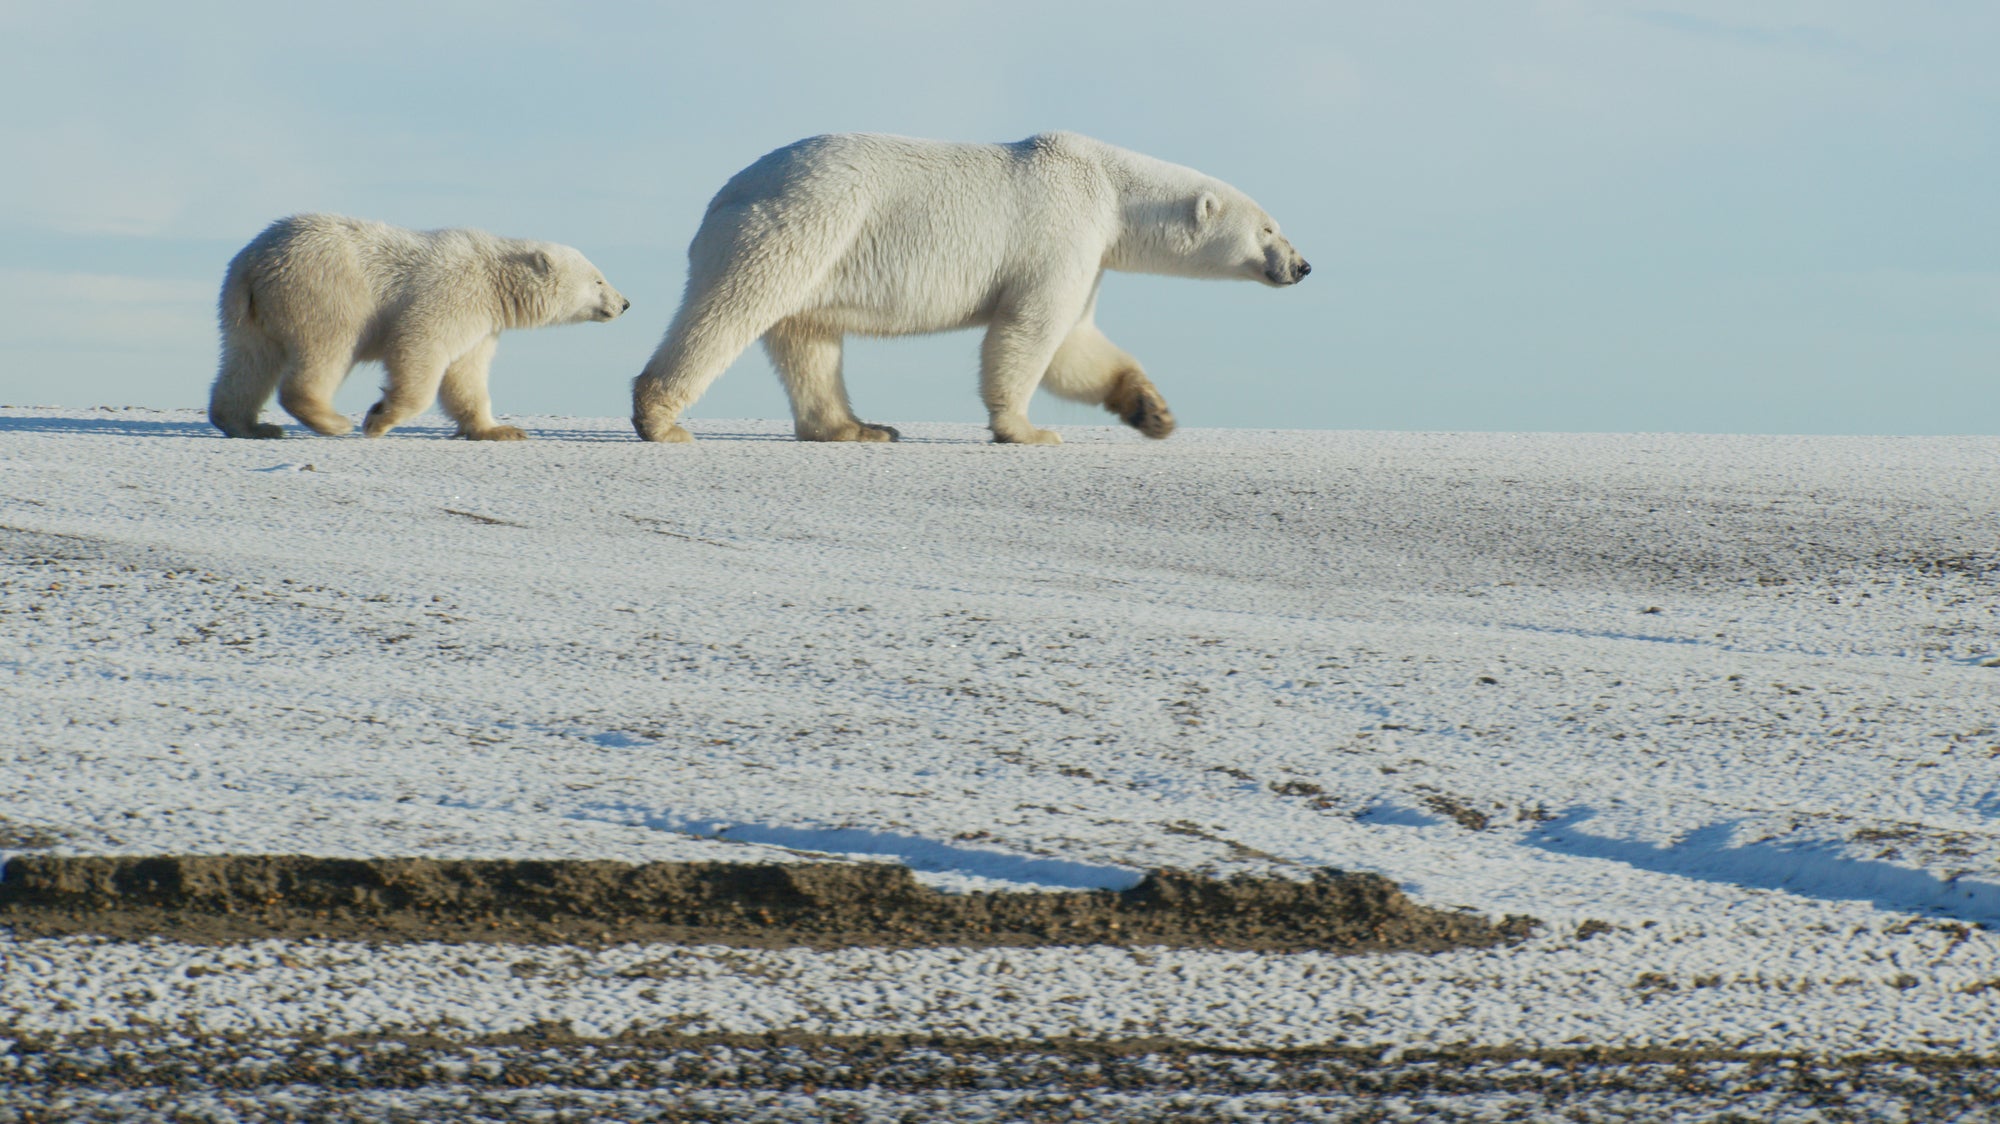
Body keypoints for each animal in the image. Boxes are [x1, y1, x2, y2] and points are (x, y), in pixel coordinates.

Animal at [207, 214, 630, 441]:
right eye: (598, 279)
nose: (625, 303)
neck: (494, 279)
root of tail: (256, 260)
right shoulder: (451, 293)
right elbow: (420, 346)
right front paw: (378, 417)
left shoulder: (482, 323)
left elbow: (466, 375)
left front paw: (501, 430)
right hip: (325, 291)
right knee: (326, 349)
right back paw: (332, 420)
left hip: (244, 307)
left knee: (248, 361)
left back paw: (248, 425)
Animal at [631, 131, 1309, 446]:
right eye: (1270, 227)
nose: (1302, 265)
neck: (1111, 188)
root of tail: (722, 195)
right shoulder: (1062, 231)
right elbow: (1032, 331)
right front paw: (1029, 431)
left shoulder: (1090, 253)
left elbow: (1076, 343)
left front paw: (1154, 412)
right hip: (796, 226)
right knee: (730, 311)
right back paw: (662, 419)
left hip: (818, 254)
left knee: (809, 340)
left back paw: (858, 427)